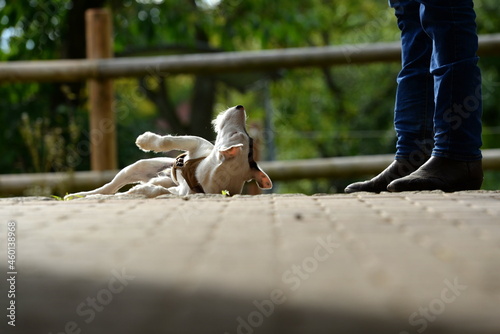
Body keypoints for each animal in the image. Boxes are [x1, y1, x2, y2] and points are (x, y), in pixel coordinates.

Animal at [65, 105, 274, 198]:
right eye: (245, 136)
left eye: (235, 133)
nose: (240, 106)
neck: (200, 173)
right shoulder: (199, 145)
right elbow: (171, 139)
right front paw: (145, 140)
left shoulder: (186, 192)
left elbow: (161, 192)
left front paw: (144, 190)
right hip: (138, 167)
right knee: (109, 187)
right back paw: (78, 195)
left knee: (111, 192)